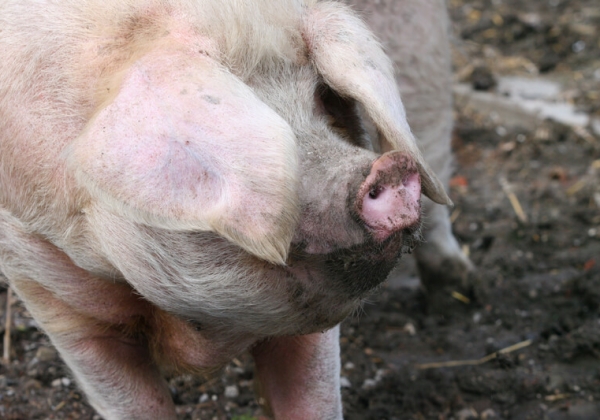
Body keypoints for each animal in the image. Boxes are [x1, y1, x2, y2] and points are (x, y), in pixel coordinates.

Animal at [0, 0, 468, 420]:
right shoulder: (51, 294)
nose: (387, 169)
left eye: (322, 98)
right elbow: (132, 401)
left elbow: (312, 398)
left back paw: (459, 287)